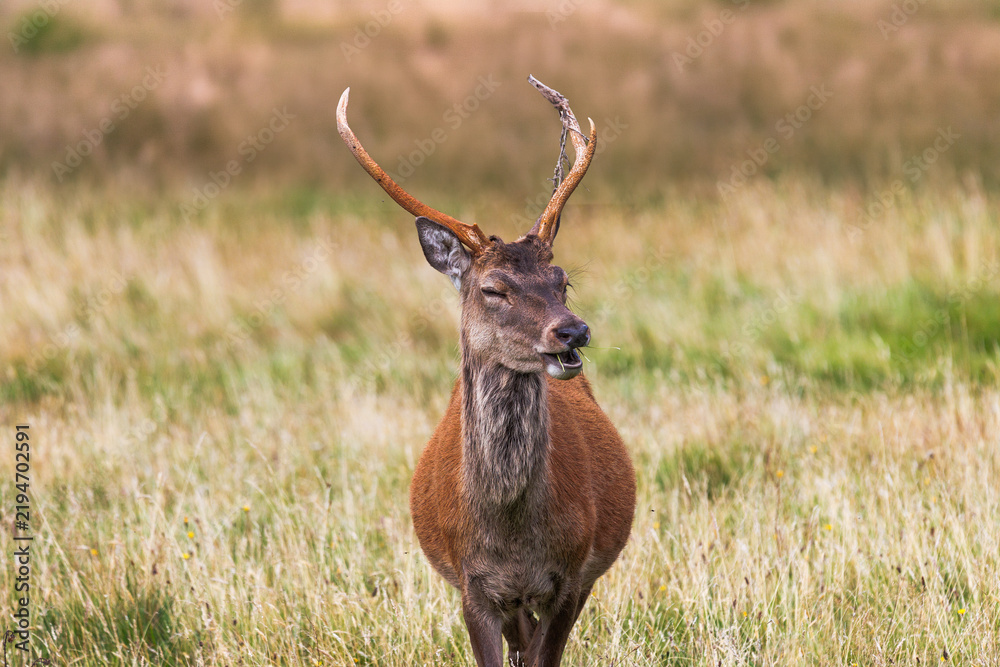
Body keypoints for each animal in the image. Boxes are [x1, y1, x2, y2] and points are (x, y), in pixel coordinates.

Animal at [337, 76, 636, 667]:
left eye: (562, 280)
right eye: (494, 289)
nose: (573, 332)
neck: (510, 534)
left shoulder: (572, 574)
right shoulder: (471, 585)